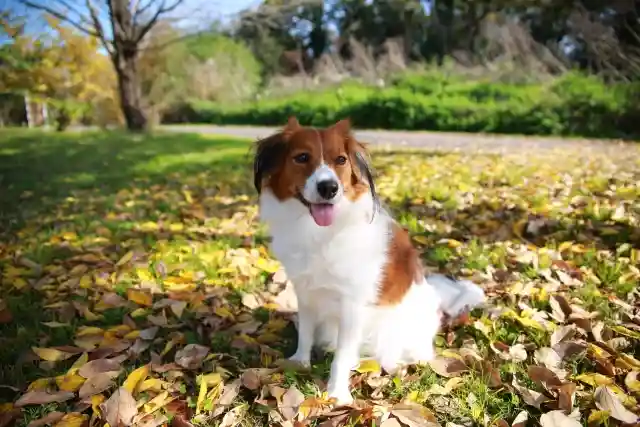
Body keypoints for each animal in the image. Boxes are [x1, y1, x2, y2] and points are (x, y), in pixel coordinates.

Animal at [252, 118, 478, 406]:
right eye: (301, 157)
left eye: (340, 160)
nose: (329, 188)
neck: (321, 231)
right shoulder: (305, 291)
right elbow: (306, 332)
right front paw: (300, 361)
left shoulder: (352, 305)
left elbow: (342, 356)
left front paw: (337, 392)